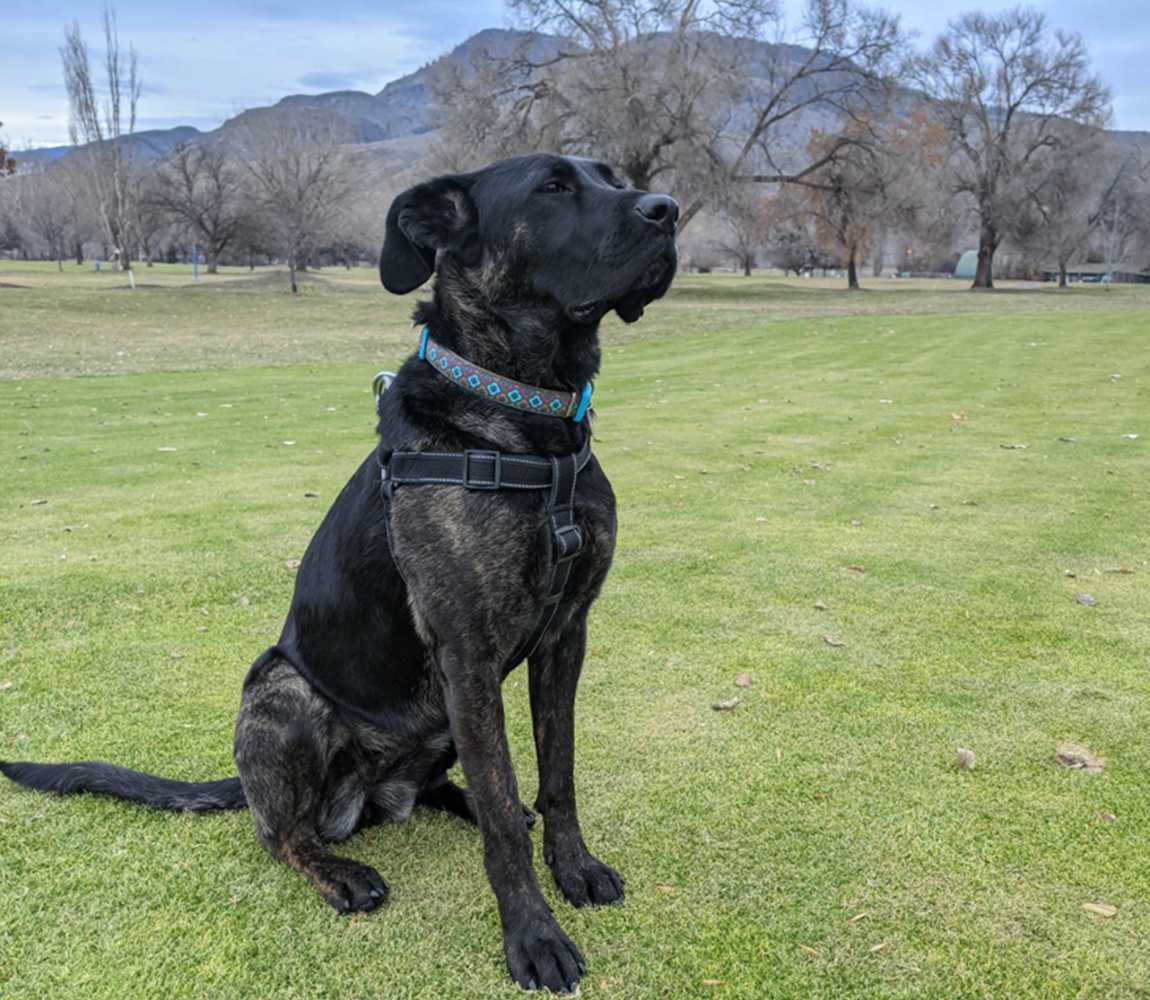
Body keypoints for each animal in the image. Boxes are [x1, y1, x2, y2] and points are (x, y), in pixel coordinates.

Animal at [2, 152, 671, 997]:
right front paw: (532, 934)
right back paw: (339, 872)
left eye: (613, 175)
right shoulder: (468, 653)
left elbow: (557, 774)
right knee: (281, 836)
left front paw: (574, 866)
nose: (669, 210)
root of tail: (370, 795)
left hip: (441, 718)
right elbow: (502, 810)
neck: (529, 422)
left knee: (452, 789)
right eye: (553, 187)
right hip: (285, 693)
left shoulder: (566, 637)